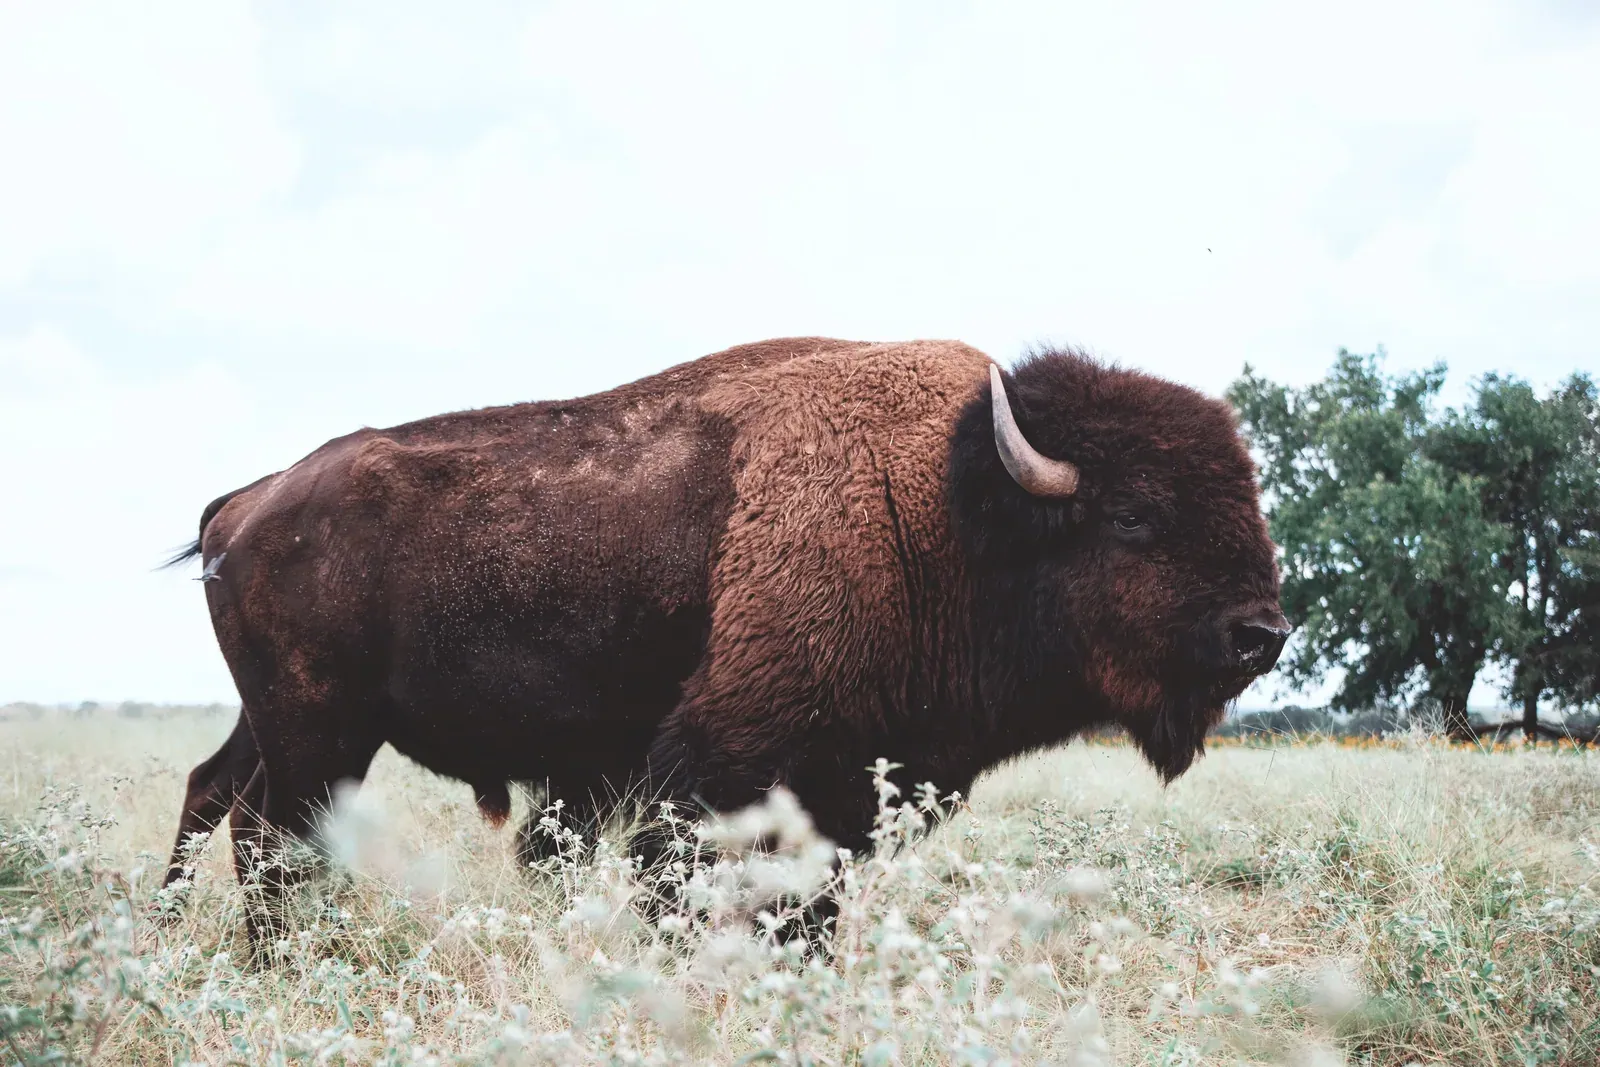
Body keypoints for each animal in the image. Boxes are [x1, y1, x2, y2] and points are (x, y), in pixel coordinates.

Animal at [161, 337, 1288, 939]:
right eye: (1134, 514)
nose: (1261, 633)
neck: (946, 509)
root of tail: (254, 498)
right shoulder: (732, 766)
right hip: (320, 729)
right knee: (272, 833)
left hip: (280, 721)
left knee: (219, 795)